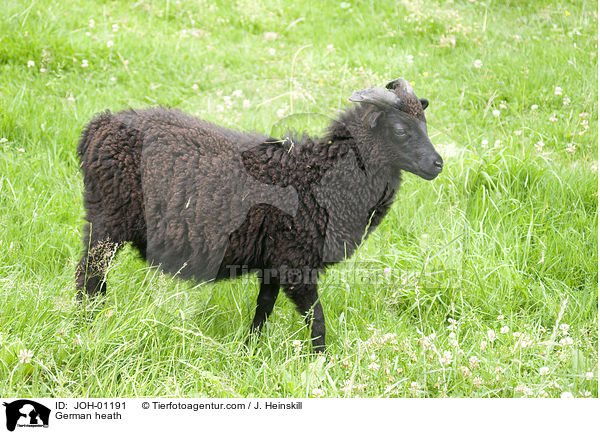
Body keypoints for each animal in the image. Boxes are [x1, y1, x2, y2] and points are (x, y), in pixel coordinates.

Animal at [74, 77, 440, 352]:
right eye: (400, 130)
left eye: (423, 124)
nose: (438, 165)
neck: (320, 175)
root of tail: (97, 127)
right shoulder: (296, 261)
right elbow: (317, 319)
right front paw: (322, 364)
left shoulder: (273, 260)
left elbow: (263, 308)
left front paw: (249, 350)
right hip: (109, 218)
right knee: (88, 273)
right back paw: (85, 325)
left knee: (95, 276)